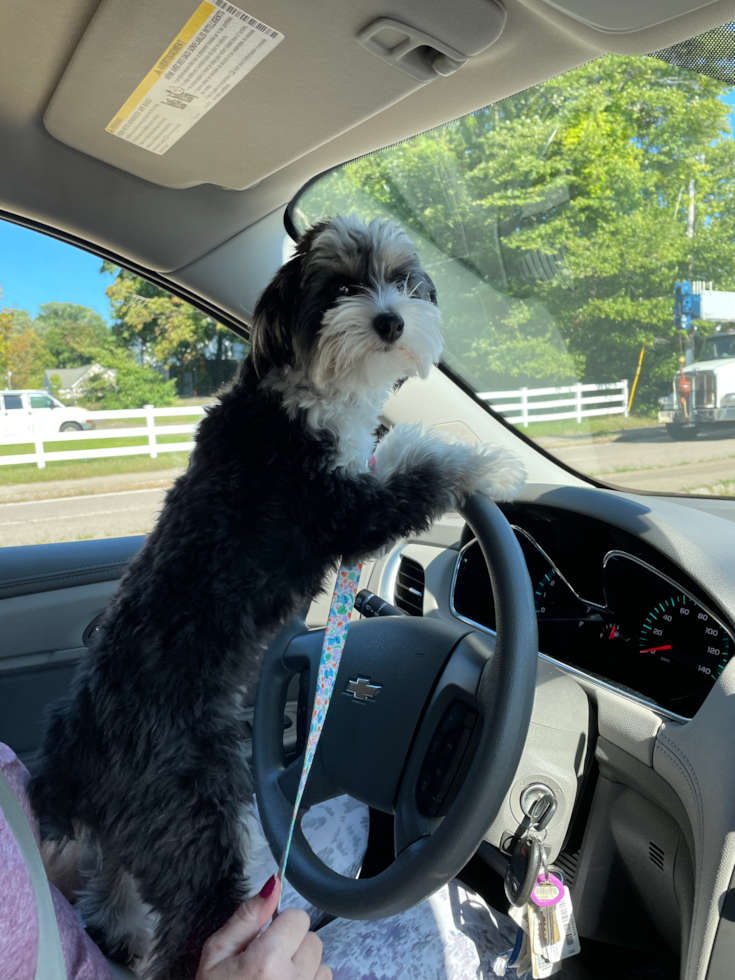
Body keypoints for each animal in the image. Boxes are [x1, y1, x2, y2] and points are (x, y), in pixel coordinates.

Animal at [27, 216, 524, 980]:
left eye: (403, 280)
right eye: (339, 288)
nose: (390, 320)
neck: (303, 390)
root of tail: (83, 749)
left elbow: (393, 452)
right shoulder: (340, 509)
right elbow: (421, 474)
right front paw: (492, 462)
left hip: (125, 828)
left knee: (109, 879)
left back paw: (120, 924)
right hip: (189, 820)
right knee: (190, 931)